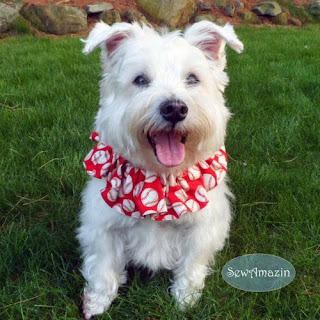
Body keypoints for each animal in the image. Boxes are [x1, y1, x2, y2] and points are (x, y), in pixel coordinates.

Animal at [77, 21, 242, 318]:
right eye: (140, 80)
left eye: (192, 78)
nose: (174, 108)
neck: (159, 177)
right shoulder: (102, 227)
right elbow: (103, 269)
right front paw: (96, 303)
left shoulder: (201, 229)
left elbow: (191, 267)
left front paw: (185, 300)